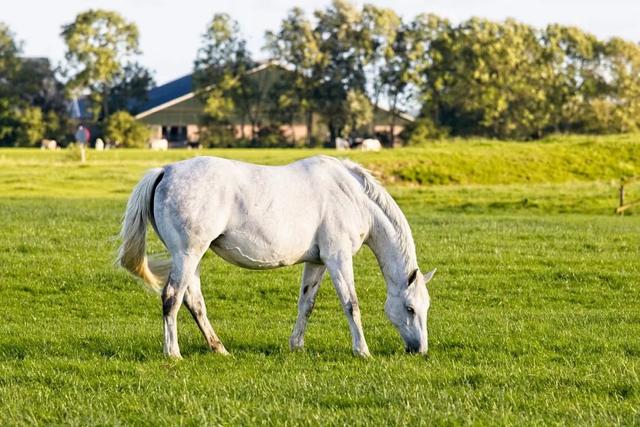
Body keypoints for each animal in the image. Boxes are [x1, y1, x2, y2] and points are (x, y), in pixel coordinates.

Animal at [116, 156, 436, 358]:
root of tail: (166, 170)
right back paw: (173, 353)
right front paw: (363, 351)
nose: (419, 350)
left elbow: (306, 304)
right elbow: (351, 304)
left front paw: (297, 346)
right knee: (171, 298)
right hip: (187, 254)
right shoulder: (338, 258)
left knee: (193, 302)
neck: (352, 195)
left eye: (425, 307)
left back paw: (219, 349)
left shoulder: (317, 263)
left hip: (192, 259)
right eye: (409, 308)